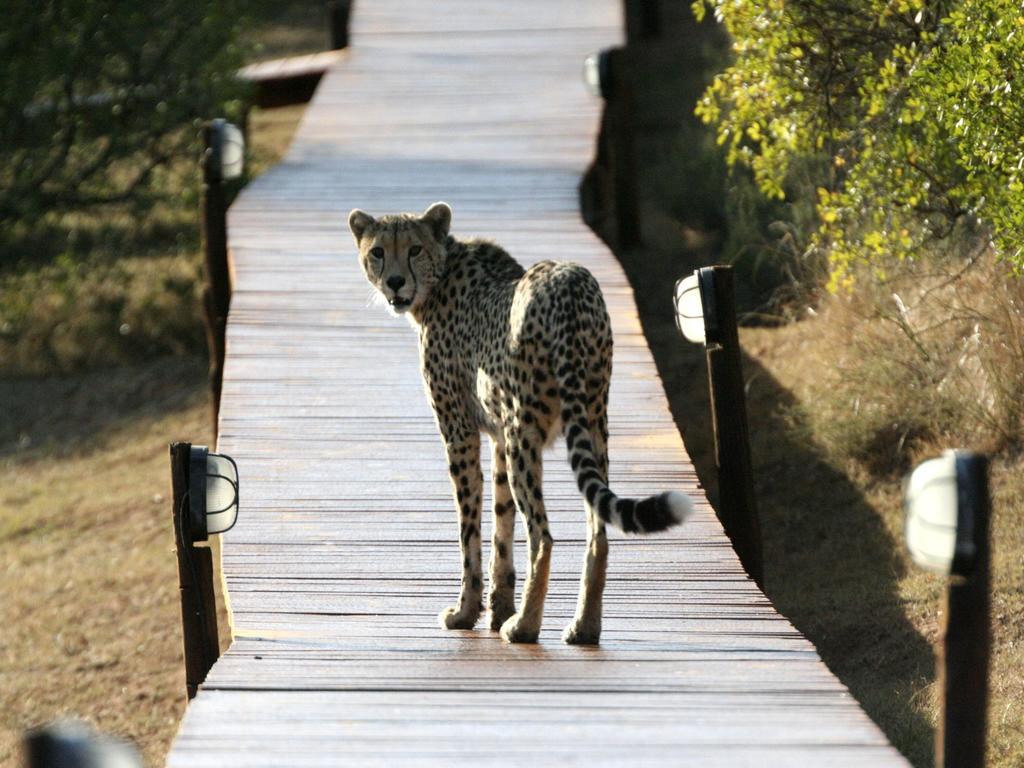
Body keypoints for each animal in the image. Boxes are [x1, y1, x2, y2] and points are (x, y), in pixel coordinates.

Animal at [348, 202, 692, 643]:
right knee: (597, 533)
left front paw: (466, 612)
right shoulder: (497, 437)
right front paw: (498, 610)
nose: (394, 283)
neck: (440, 276)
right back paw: (583, 627)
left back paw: (526, 626)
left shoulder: (461, 433)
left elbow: (470, 530)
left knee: (543, 535)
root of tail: (568, 282)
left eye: (414, 249)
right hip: (591, 423)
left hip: (524, 435)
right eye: (377, 251)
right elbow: (502, 525)